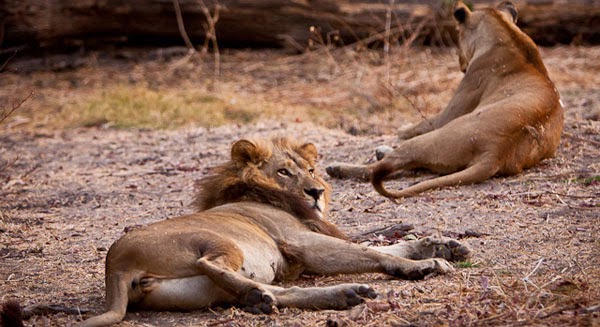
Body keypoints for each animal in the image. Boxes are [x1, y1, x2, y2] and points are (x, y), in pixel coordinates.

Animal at [71, 137, 468, 326]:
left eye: (311, 169)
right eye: (284, 171)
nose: (316, 191)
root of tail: (115, 265)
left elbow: (382, 247)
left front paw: (442, 246)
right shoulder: (301, 242)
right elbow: (370, 251)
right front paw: (424, 265)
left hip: (202, 290)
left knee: (275, 290)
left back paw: (336, 295)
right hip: (217, 241)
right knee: (211, 264)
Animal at [324, 1, 564, 200]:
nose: (459, 62)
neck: (509, 35)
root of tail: (497, 151)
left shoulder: (451, 110)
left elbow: (418, 124)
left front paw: (401, 129)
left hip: (435, 137)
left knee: (385, 166)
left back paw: (337, 167)